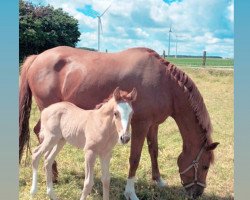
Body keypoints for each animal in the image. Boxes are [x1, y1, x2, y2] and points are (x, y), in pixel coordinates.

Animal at [20, 46, 219, 199]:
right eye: (205, 166)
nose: (197, 193)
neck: (165, 84)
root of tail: (37, 57)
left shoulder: (153, 125)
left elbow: (153, 151)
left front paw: (159, 180)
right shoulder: (140, 125)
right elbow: (135, 158)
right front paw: (130, 192)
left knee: (38, 132)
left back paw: (53, 173)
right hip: (48, 110)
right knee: (41, 136)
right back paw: (52, 174)